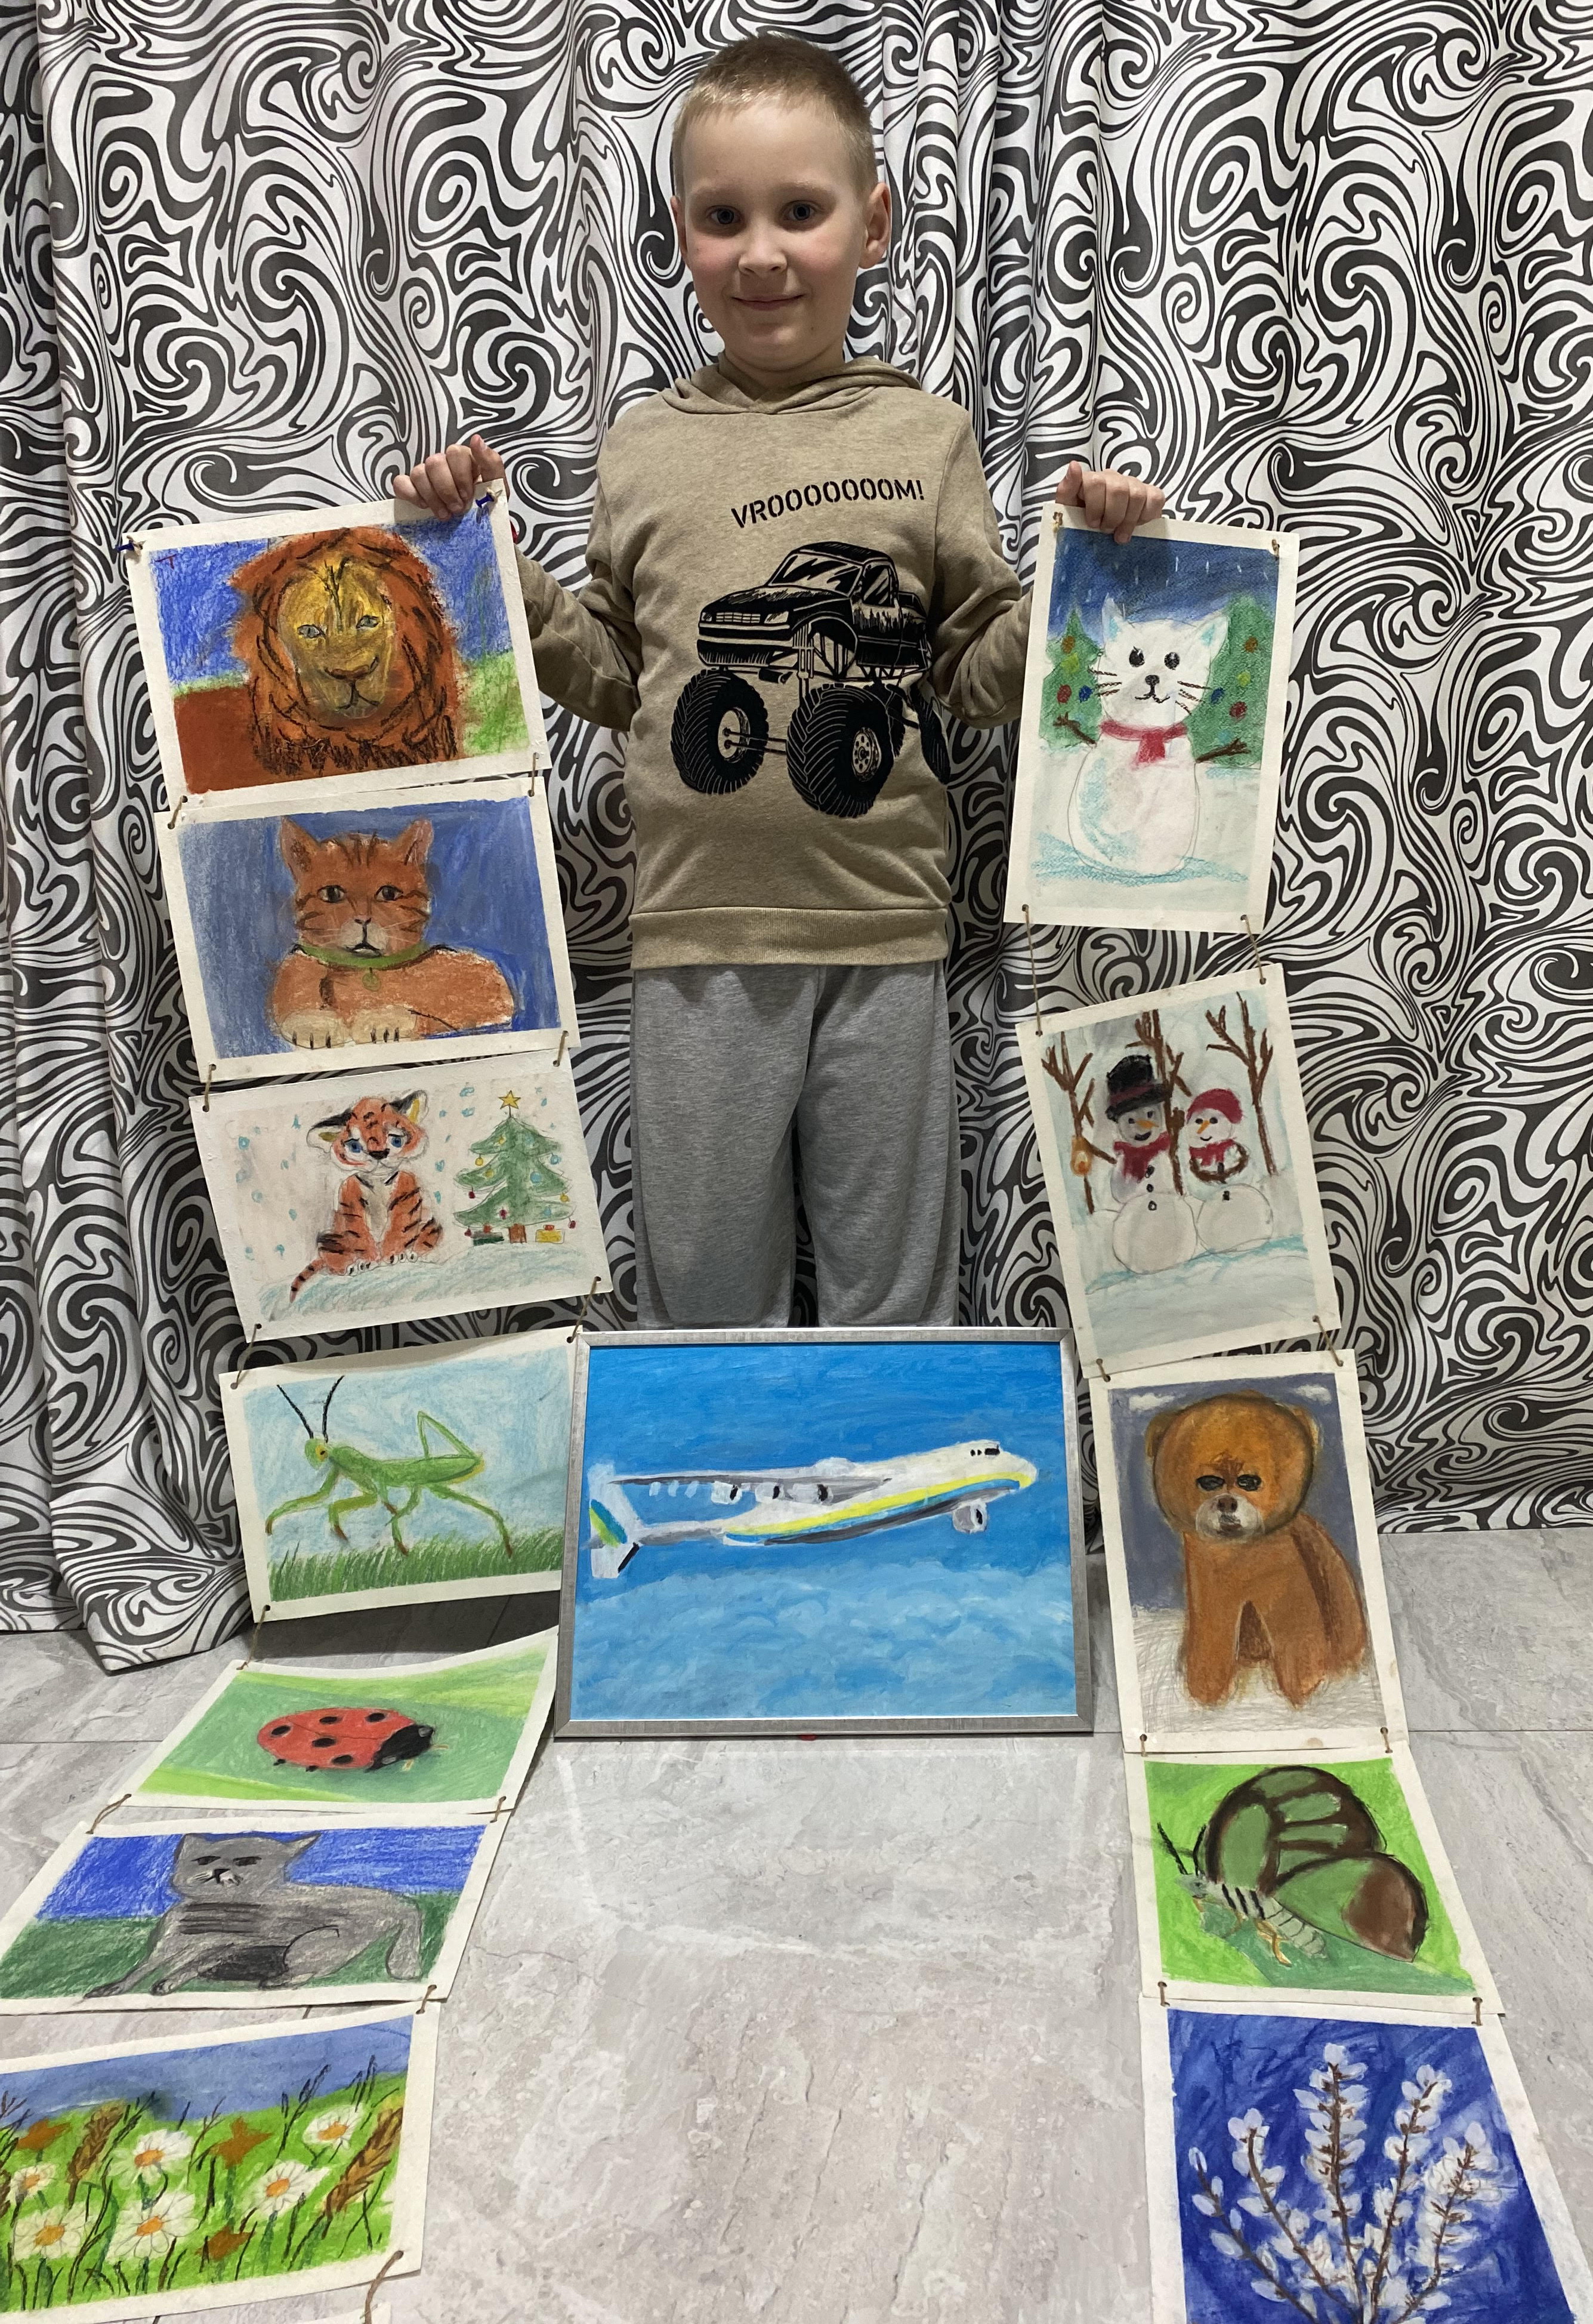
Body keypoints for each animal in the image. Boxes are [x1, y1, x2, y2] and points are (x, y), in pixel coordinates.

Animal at [83, 1832, 425, 1996]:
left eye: (248, 1861)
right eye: (205, 1860)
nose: (220, 1870)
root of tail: (396, 1902)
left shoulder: (230, 1945)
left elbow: (192, 1965)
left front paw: (169, 1983)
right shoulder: (168, 1946)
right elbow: (142, 1969)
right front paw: (113, 1988)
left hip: (311, 1943)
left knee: (308, 1970)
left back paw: (276, 1981)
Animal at [268, 817, 516, 1049]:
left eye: (388, 893)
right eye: (332, 893)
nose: (363, 919)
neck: (364, 969)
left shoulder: (488, 988)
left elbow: (435, 1012)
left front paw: (382, 1020)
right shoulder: (297, 963)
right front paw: (313, 1023)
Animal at [290, 1091, 443, 1302]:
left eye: (396, 1140)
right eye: (355, 1146)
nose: (378, 1154)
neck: (378, 1180)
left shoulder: (406, 1197)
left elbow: (400, 1229)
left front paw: (394, 1256)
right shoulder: (351, 1202)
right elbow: (360, 1236)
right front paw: (368, 1262)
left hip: (431, 1225)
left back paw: (421, 1256)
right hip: (329, 1238)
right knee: (334, 1263)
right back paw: (352, 1267)